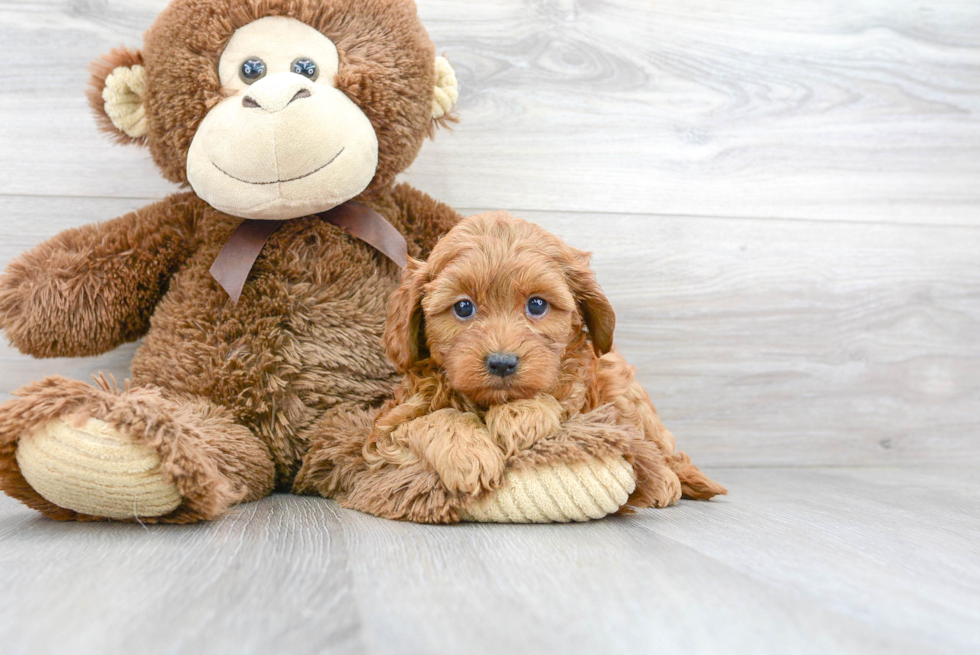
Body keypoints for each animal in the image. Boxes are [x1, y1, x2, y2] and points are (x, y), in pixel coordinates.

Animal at [300, 211, 728, 524]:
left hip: (622, 388)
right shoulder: (386, 430)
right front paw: (469, 455)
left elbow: (554, 401)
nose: (502, 362)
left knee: (655, 446)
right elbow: (434, 418)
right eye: (463, 308)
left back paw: (666, 480)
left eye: (537, 305)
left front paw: (520, 417)